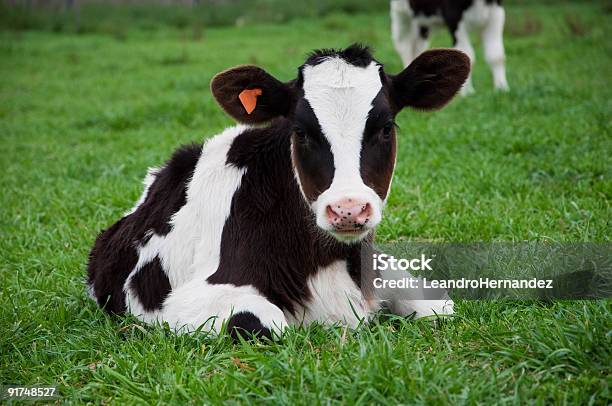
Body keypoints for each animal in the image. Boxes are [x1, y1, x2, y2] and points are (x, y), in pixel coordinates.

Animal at [86, 44, 468, 340]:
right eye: (300, 131)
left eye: (386, 128)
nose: (348, 210)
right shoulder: (181, 302)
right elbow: (262, 323)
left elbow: (440, 307)